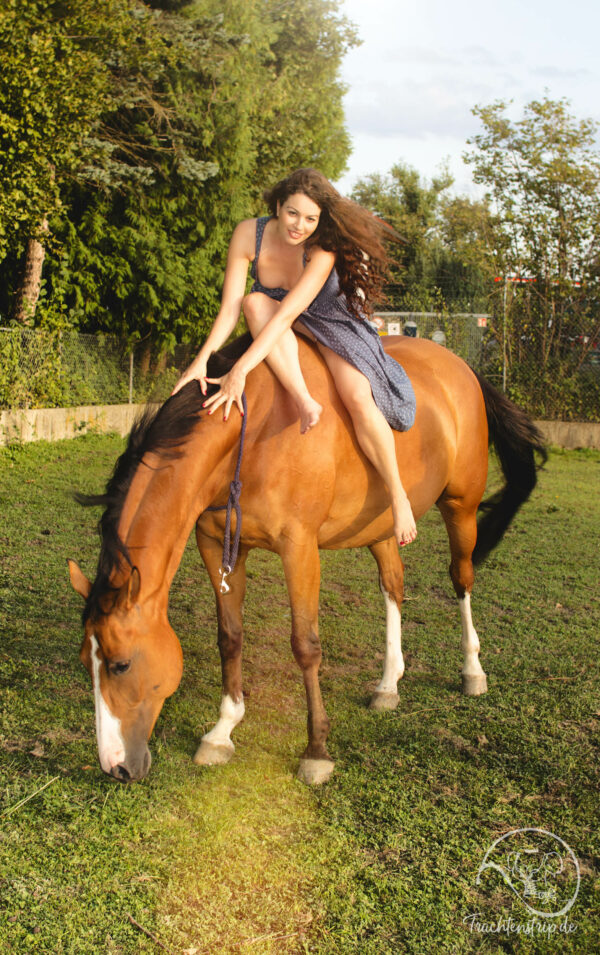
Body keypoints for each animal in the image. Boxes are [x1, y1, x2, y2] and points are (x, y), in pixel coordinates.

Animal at [68, 336, 548, 784]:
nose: (115, 767)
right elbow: (230, 637)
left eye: (122, 664)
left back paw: (472, 670)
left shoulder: (298, 547)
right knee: (393, 585)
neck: (249, 435)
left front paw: (316, 750)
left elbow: (305, 645)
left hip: (460, 507)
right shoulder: (216, 544)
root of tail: (460, 366)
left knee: (461, 579)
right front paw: (222, 732)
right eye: (86, 663)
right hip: (381, 524)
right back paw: (388, 684)